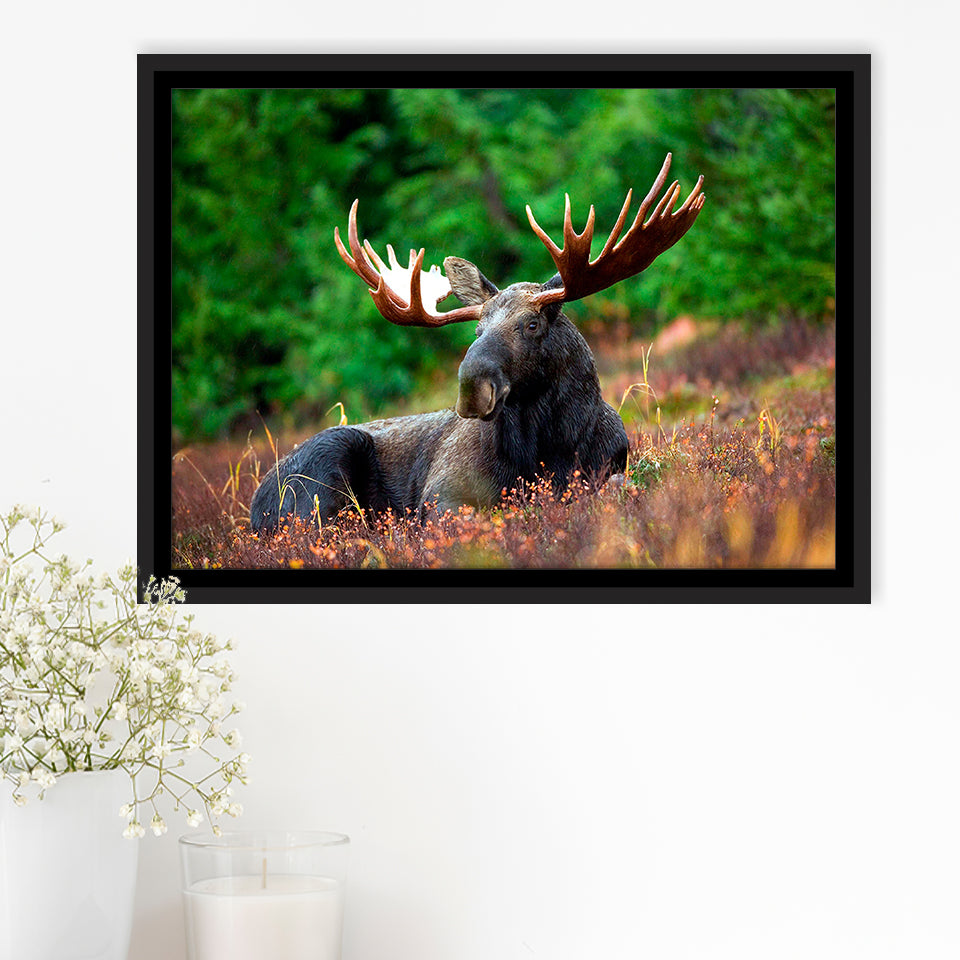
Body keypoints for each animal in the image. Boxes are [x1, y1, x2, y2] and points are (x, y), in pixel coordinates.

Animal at [249, 153, 704, 535]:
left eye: (532, 324)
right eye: (477, 329)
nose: (472, 387)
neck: (550, 448)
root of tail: (255, 507)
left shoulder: (609, 466)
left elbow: (618, 486)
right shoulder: (442, 494)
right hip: (324, 470)